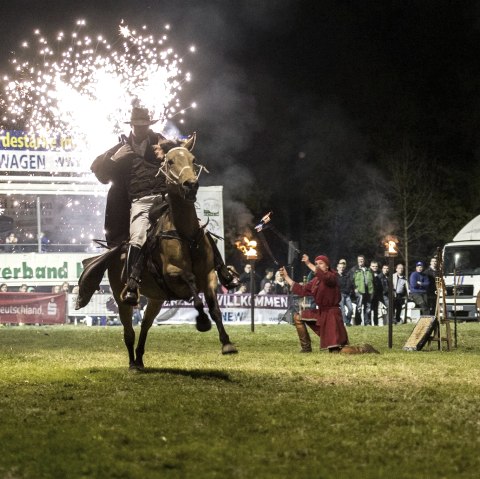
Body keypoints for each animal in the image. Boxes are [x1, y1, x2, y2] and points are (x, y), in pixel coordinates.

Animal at [89, 137, 237, 370]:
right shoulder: (171, 273)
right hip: (121, 297)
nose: (190, 184)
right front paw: (202, 321)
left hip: (156, 299)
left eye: (193, 159)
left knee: (145, 325)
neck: (185, 234)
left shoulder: (210, 275)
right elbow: (190, 280)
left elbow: (214, 308)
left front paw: (227, 343)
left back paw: (140, 358)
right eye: (169, 161)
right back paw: (132, 363)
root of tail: (116, 250)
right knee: (128, 330)